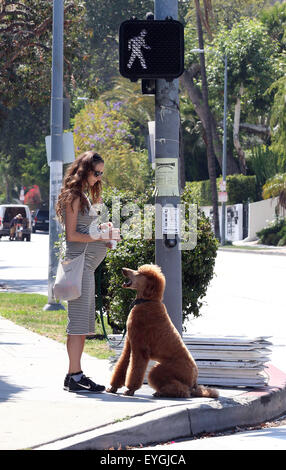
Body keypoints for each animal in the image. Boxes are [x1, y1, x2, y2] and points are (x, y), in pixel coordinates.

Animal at [107, 266, 219, 398]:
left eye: (139, 273)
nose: (123, 269)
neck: (147, 301)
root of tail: (194, 380)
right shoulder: (129, 344)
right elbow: (122, 364)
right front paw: (113, 387)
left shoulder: (140, 349)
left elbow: (135, 370)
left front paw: (130, 389)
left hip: (163, 370)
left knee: (184, 391)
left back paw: (163, 392)